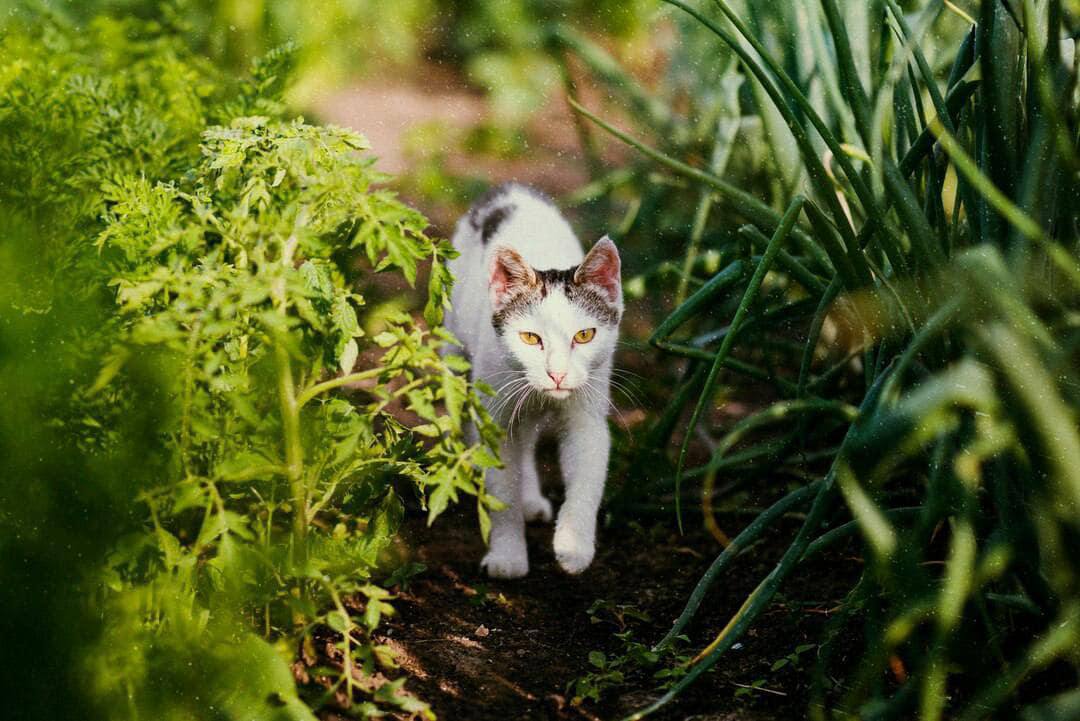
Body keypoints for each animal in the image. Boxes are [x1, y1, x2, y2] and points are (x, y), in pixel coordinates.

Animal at [442, 183, 622, 578]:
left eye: (584, 335)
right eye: (529, 338)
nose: (557, 373)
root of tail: (509, 188)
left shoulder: (588, 414)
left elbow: (587, 479)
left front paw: (573, 546)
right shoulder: (496, 410)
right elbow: (501, 489)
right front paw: (507, 556)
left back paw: (531, 499)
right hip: (456, 350)